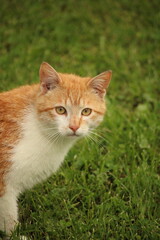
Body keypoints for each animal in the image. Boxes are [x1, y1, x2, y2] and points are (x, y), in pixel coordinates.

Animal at [0, 62, 112, 236]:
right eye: (60, 110)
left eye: (86, 111)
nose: (74, 126)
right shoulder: (4, 188)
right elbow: (8, 217)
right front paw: (15, 236)